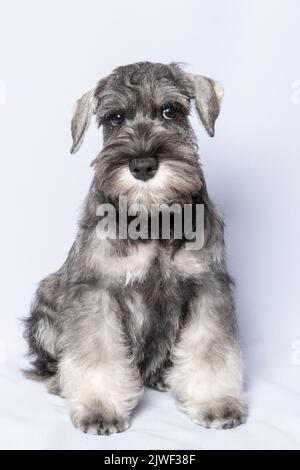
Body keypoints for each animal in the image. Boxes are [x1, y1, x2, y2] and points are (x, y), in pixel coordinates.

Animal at [24, 60, 246, 436]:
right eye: (114, 118)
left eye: (171, 111)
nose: (143, 165)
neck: (152, 216)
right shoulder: (96, 291)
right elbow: (97, 353)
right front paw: (99, 408)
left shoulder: (207, 286)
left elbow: (209, 350)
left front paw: (216, 402)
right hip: (48, 297)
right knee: (50, 362)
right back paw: (59, 382)